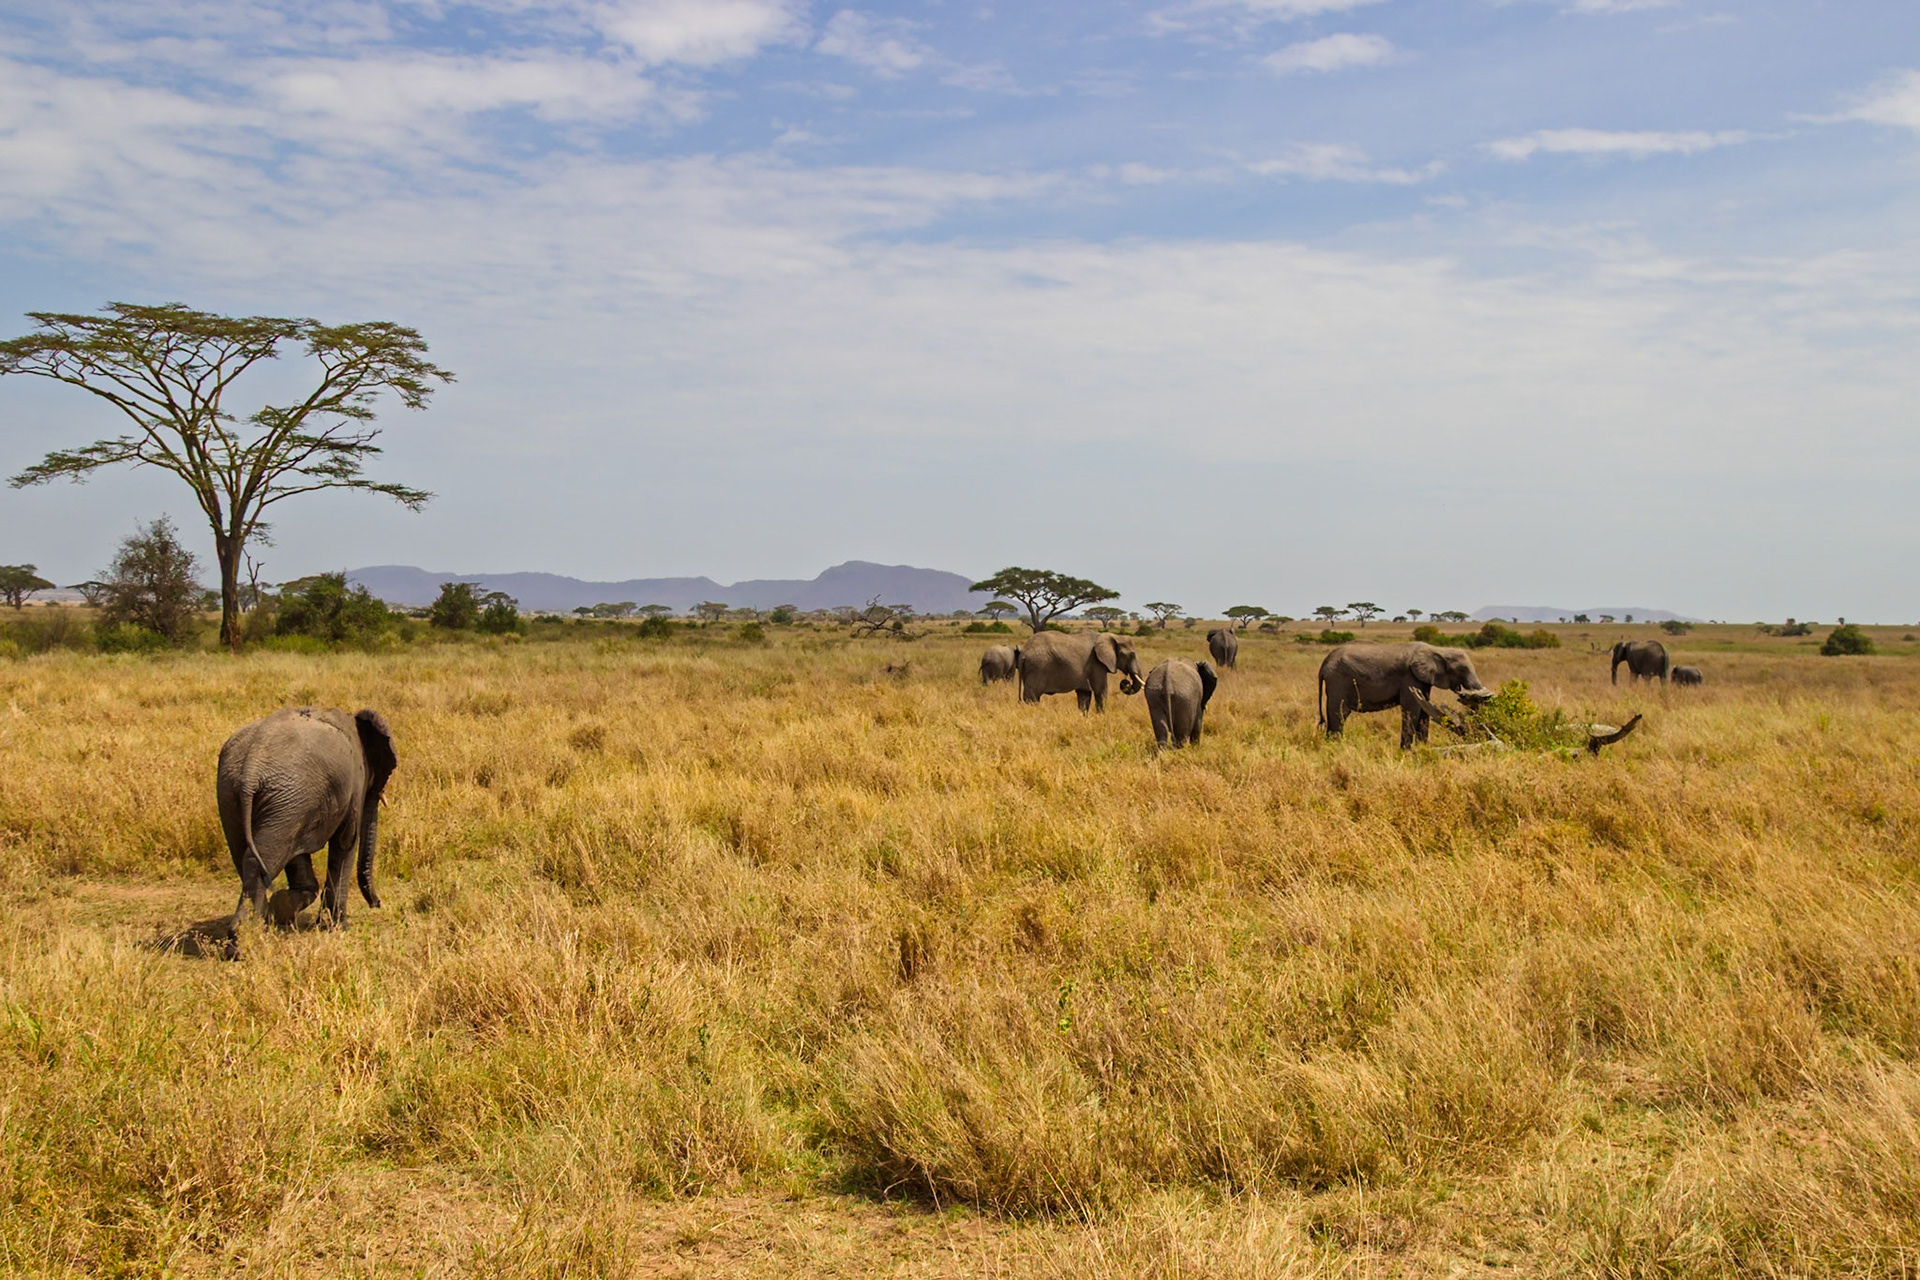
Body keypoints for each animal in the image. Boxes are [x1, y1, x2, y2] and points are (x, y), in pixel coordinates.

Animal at [217, 707, 395, 934]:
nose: (377, 903)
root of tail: (251, 767)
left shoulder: (300, 805)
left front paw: (284, 908)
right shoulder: (354, 782)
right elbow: (345, 842)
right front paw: (340, 927)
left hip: (240, 793)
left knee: (251, 855)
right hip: (284, 795)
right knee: (263, 857)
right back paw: (243, 937)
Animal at [1318, 642, 1492, 750]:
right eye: (1462, 670)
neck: (1437, 650)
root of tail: (1324, 664)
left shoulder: (1422, 680)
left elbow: (1425, 711)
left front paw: (1423, 748)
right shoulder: (1409, 677)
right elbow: (1412, 710)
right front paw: (1406, 752)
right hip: (1338, 682)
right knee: (1338, 715)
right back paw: (1335, 747)